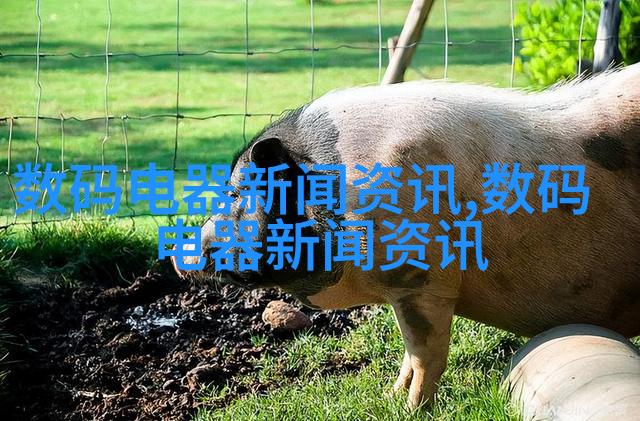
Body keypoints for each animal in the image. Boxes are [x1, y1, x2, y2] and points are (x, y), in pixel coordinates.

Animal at [173, 64, 640, 409]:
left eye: (236, 193)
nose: (179, 254)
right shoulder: (403, 290)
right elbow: (407, 352)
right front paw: (389, 396)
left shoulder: (424, 282)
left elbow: (425, 352)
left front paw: (410, 409)